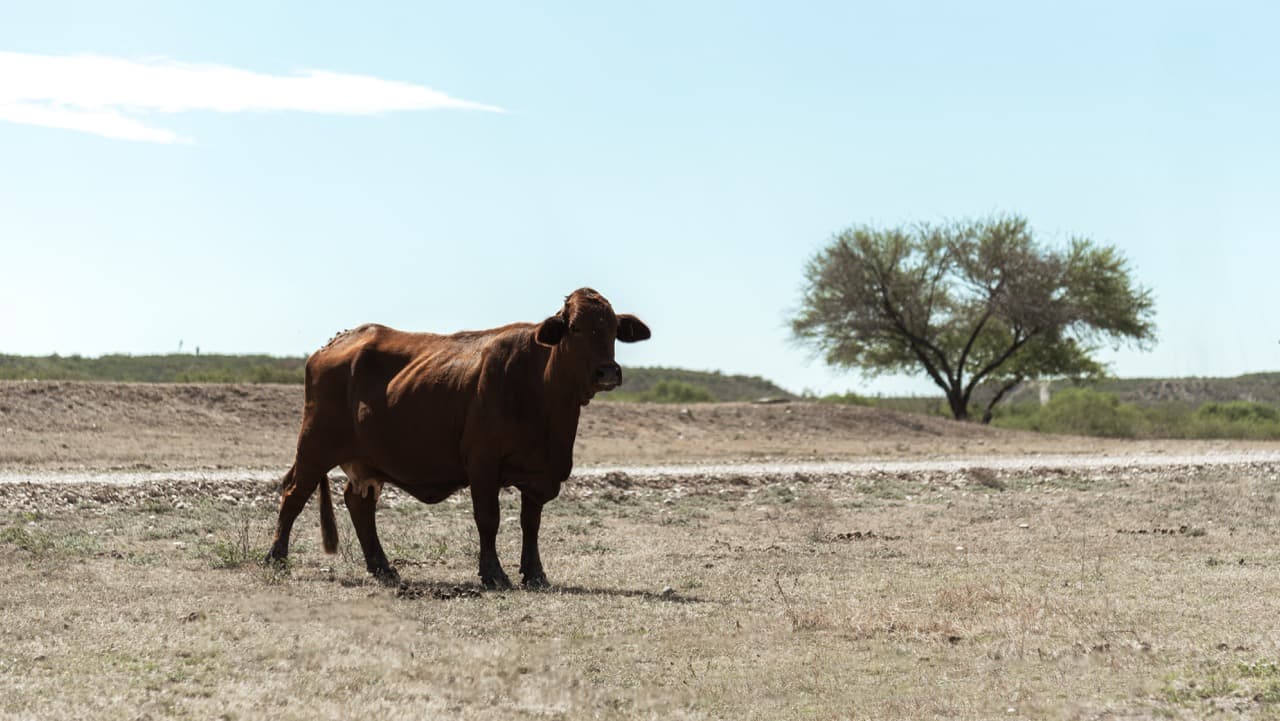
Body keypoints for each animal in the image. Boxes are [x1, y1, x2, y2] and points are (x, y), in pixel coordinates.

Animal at [264, 288, 650, 589]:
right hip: (314, 445)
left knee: (359, 505)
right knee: (293, 495)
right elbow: (488, 518)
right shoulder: (482, 464)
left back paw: (382, 568)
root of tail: (335, 342)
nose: (607, 372)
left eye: (613, 329)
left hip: (367, 460)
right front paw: (493, 574)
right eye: (575, 327)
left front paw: (535, 574)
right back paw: (276, 559)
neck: (544, 397)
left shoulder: (539, 473)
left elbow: (531, 523)